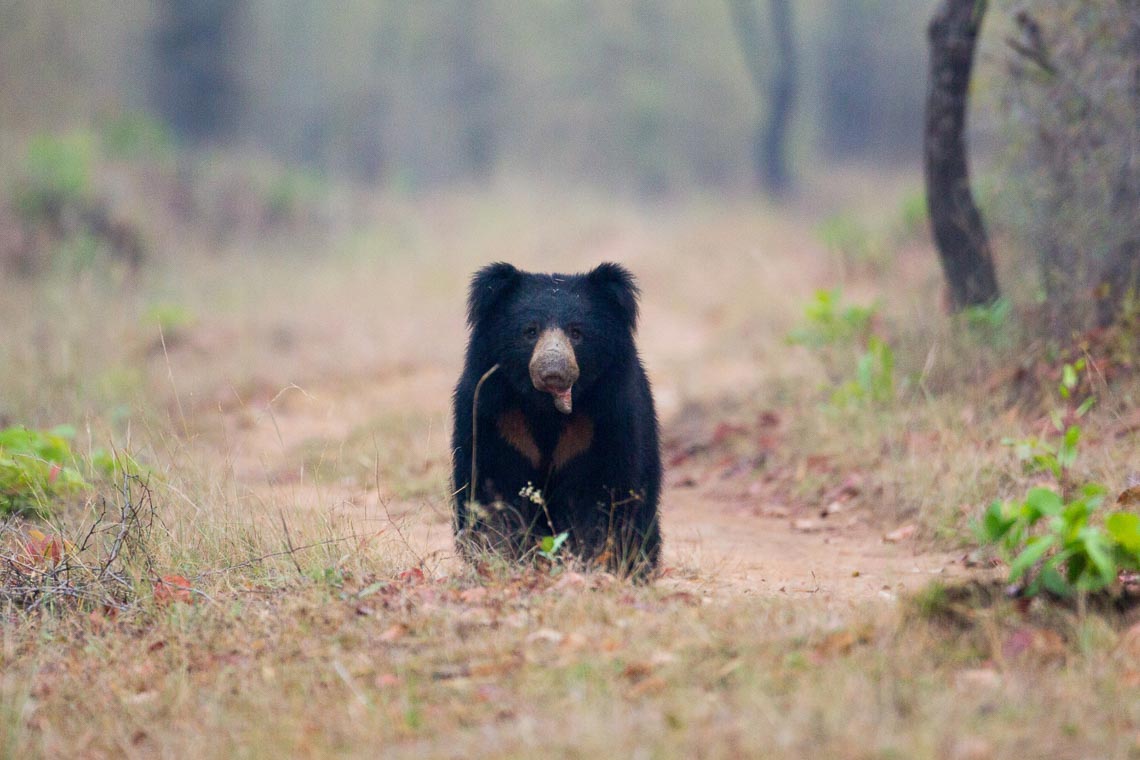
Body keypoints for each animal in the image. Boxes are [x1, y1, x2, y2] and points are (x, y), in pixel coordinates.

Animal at [451, 262, 665, 576]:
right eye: (530, 331)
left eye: (576, 332)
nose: (553, 370)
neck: (546, 408)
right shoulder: (495, 414)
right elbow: (492, 483)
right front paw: (501, 556)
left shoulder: (606, 415)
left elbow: (600, 491)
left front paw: (591, 560)